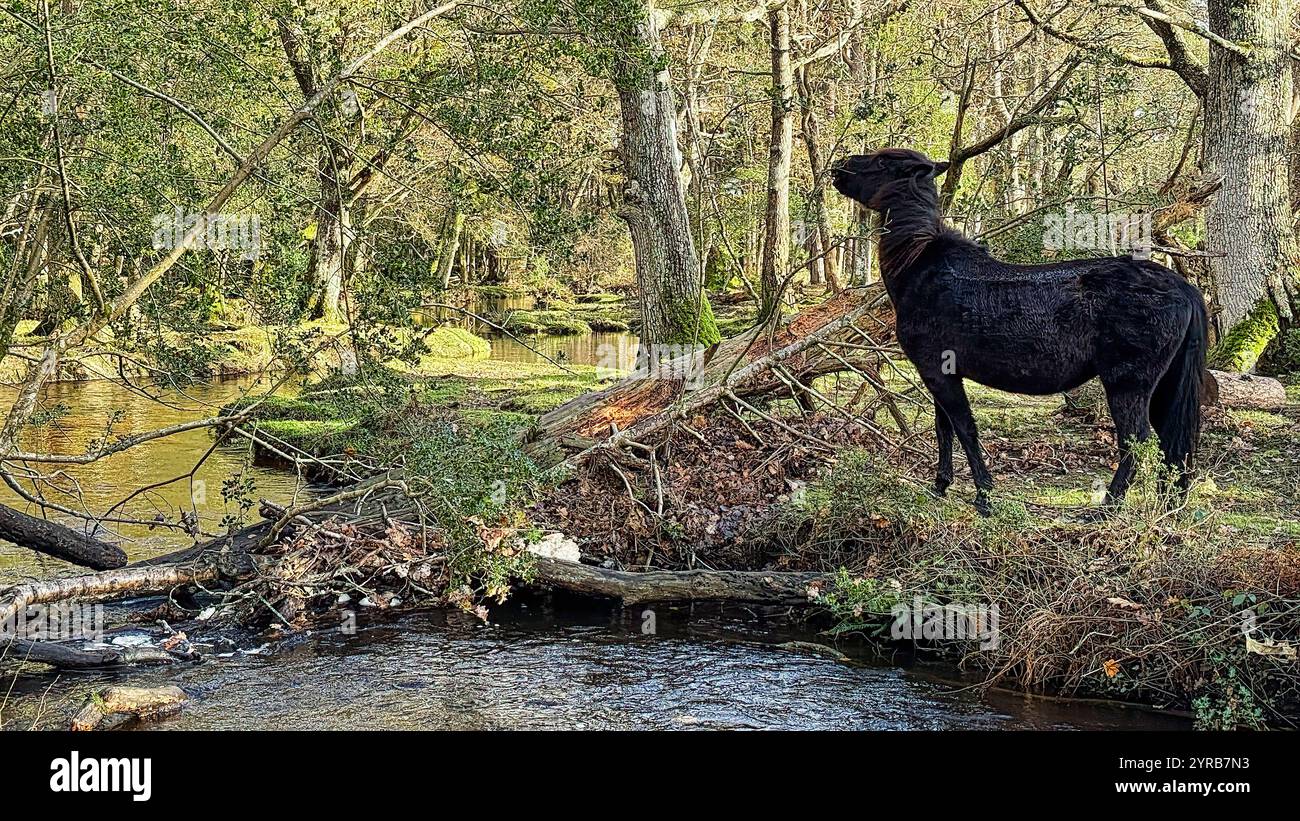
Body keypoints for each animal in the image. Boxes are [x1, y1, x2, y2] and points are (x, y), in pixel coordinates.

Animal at [830, 148, 1207, 515]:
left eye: (883, 160)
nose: (838, 167)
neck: (919, 264)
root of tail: (1182, 287)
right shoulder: (938, 373)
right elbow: (944, 428)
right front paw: (940, 486)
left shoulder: (938, 372)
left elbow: (964, 428)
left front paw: (984, 496)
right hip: (1162, 386)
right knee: (1168, 441)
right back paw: (1166, 506)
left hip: (1127, 384)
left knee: (1137, 440)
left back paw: (1108, 507)